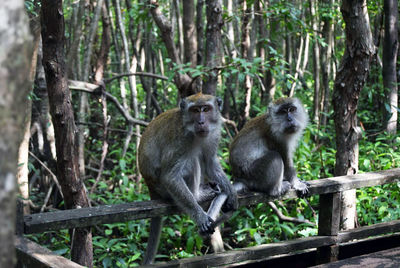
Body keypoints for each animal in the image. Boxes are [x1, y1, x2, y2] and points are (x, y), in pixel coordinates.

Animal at [138, 92, 238, 264]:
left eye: (206, 109)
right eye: (195, 110)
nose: (201, 121)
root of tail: (149, 184)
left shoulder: (213, 134)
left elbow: (210, 163)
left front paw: (231, 192)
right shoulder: (180, 140)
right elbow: (170, 176)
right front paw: (200, 216)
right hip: (163, 188)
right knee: (192, 160)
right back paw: (199, 195)